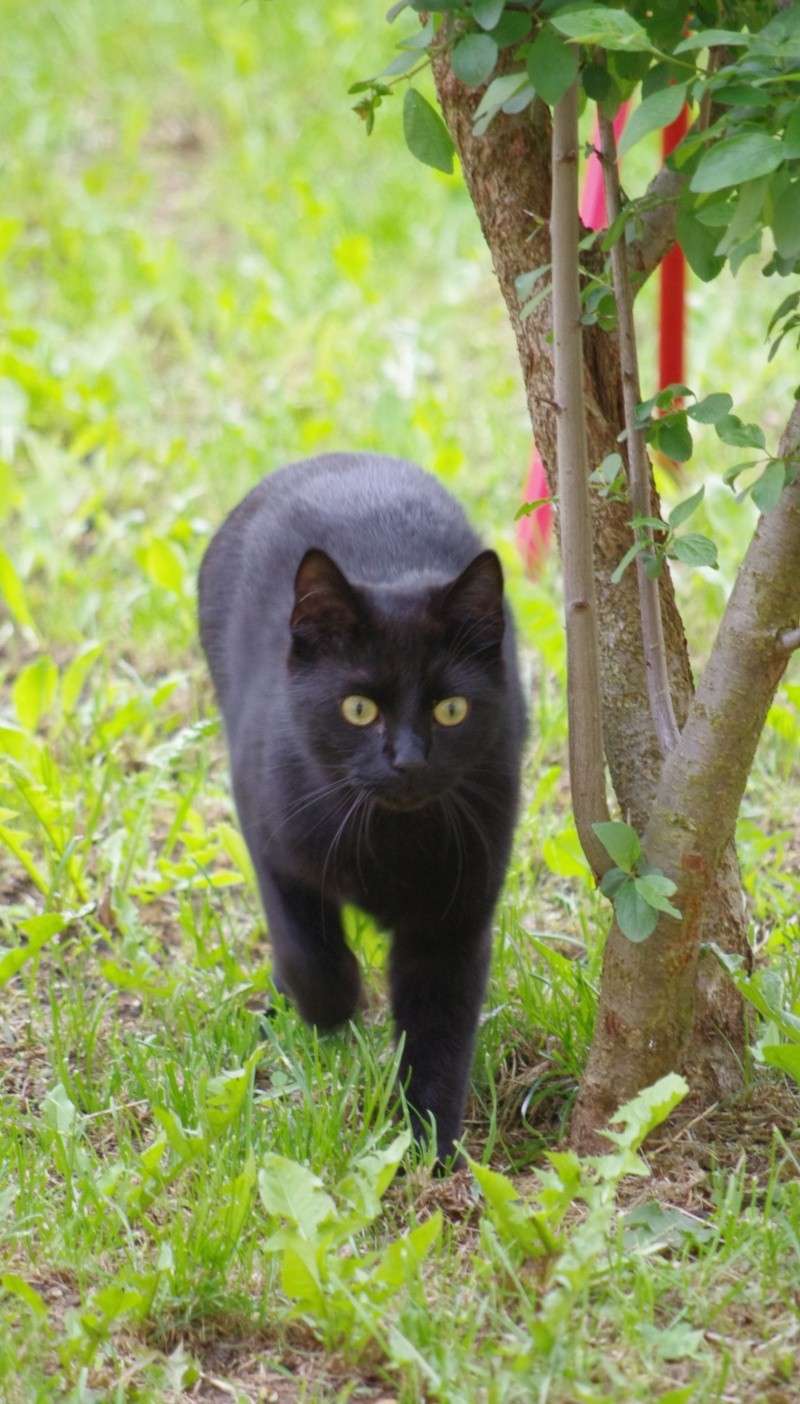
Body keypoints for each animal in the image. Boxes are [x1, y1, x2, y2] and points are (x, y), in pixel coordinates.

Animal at [197, 454, 522, 1156]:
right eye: (357, 708)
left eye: (450, 710)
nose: (408, 760)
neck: (389, 838)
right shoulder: (268, 833)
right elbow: (308, 948)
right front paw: (331, 1009)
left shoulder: (455, 913)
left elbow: (439, 1029)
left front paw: (428, 1149)